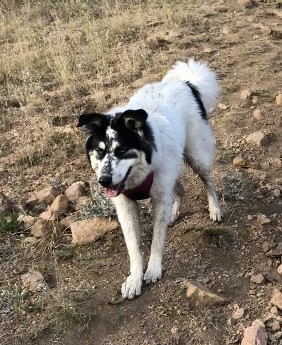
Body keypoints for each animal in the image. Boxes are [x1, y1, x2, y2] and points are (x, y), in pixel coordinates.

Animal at [77, 58, 223, 298]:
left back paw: (215, 209)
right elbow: (133, 248)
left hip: (195, 156)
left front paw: (154, 269)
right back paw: (174, 214)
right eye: (99, 151)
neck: (138, 174)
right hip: (171, 169)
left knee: (208, 181)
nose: (104, 181)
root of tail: (186, 83)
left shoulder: (159, 197)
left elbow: (157, 239)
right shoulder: (126, 207)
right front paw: (134, 279)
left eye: (122, 150)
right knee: (179, 189)